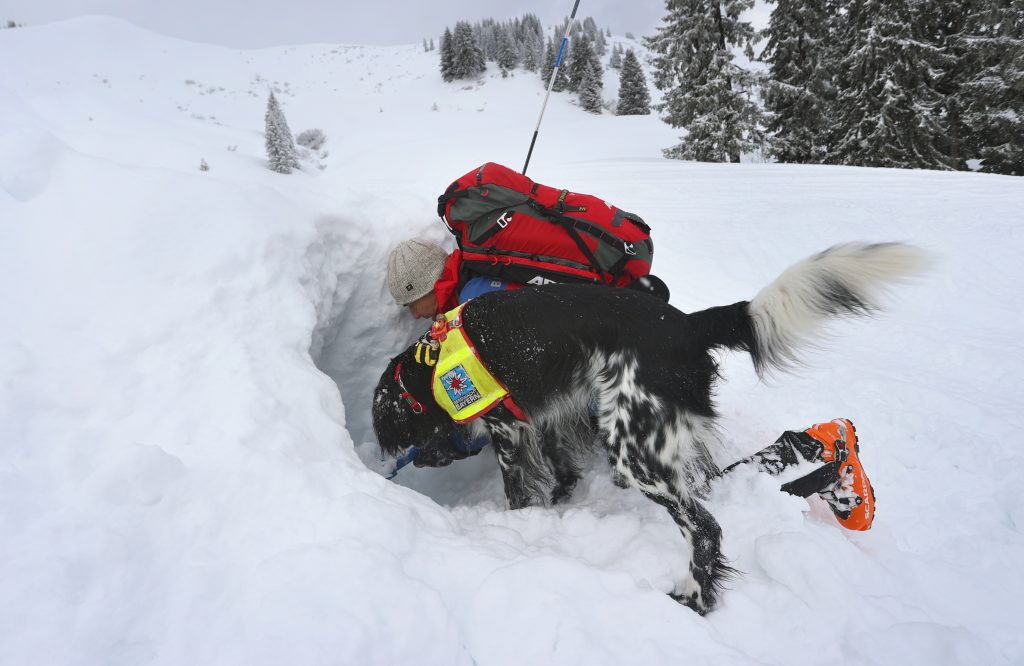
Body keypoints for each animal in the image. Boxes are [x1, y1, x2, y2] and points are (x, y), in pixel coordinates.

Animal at [374, 242, 929, 610]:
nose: (410, 461)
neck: (428, 365)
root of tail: (687, 325)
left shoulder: (505, 427)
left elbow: (517, 485)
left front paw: (517, 523)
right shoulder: (549, 413)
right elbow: (559, 465)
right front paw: (559, 501)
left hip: (634, 451)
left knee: (705, 527)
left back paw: (694, 598)